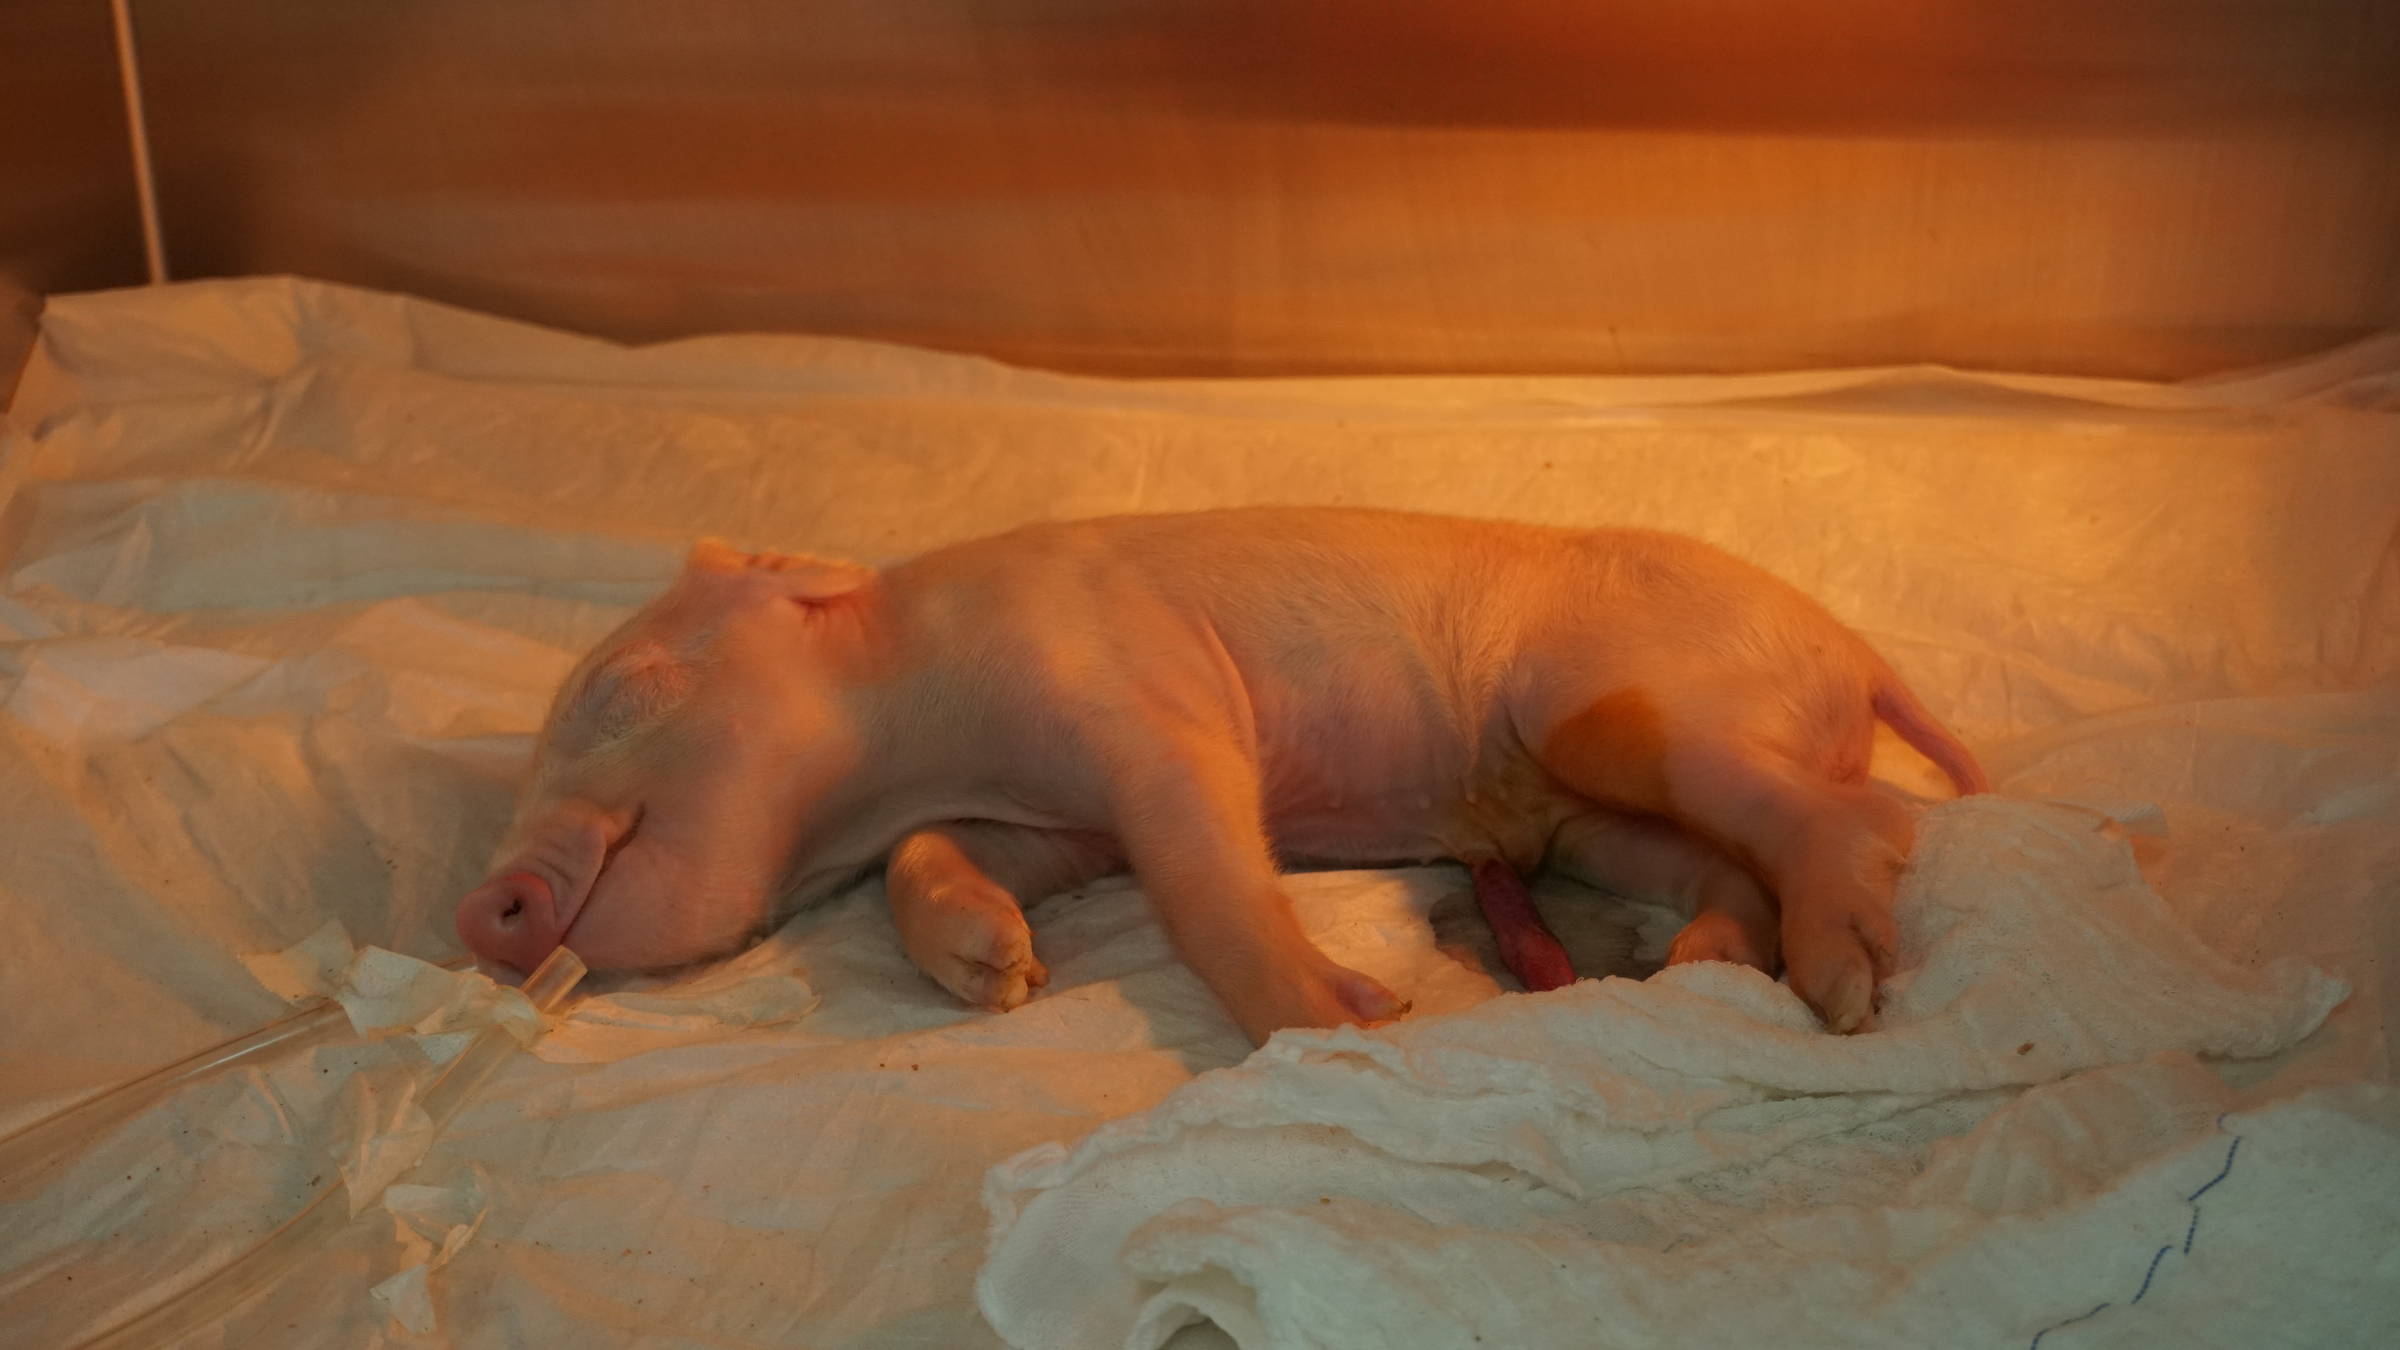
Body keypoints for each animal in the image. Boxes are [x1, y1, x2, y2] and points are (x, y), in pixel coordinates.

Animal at [456, 507, 1985, 1044]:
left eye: (620, 690)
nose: (479, 911)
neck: (914, 734)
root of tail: (1857, 653)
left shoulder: (1141, 694)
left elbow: (1204, 867)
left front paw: (1355, 1019)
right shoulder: (1049, 822)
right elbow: (933, 864)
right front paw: (998, 973)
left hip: (1610, 706)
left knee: (1865, 813)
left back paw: (1845, 987)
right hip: (1589, 822)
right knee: (1722, 864)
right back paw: (1707, 963)